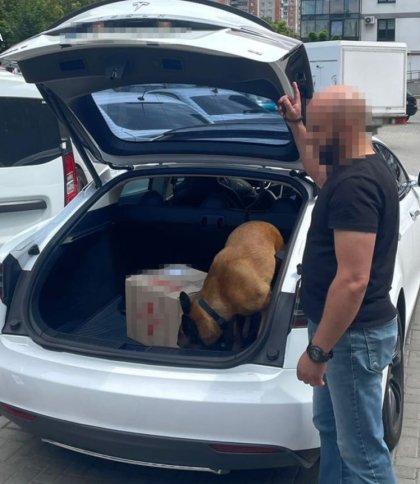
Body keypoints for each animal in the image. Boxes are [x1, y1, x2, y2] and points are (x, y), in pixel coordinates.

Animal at [178, 221, 285, 350]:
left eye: (182, 346)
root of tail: (262, 222)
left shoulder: (265, 306)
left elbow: (259, 332)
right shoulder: (237, 313)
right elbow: (237, 333)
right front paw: (237, 346)